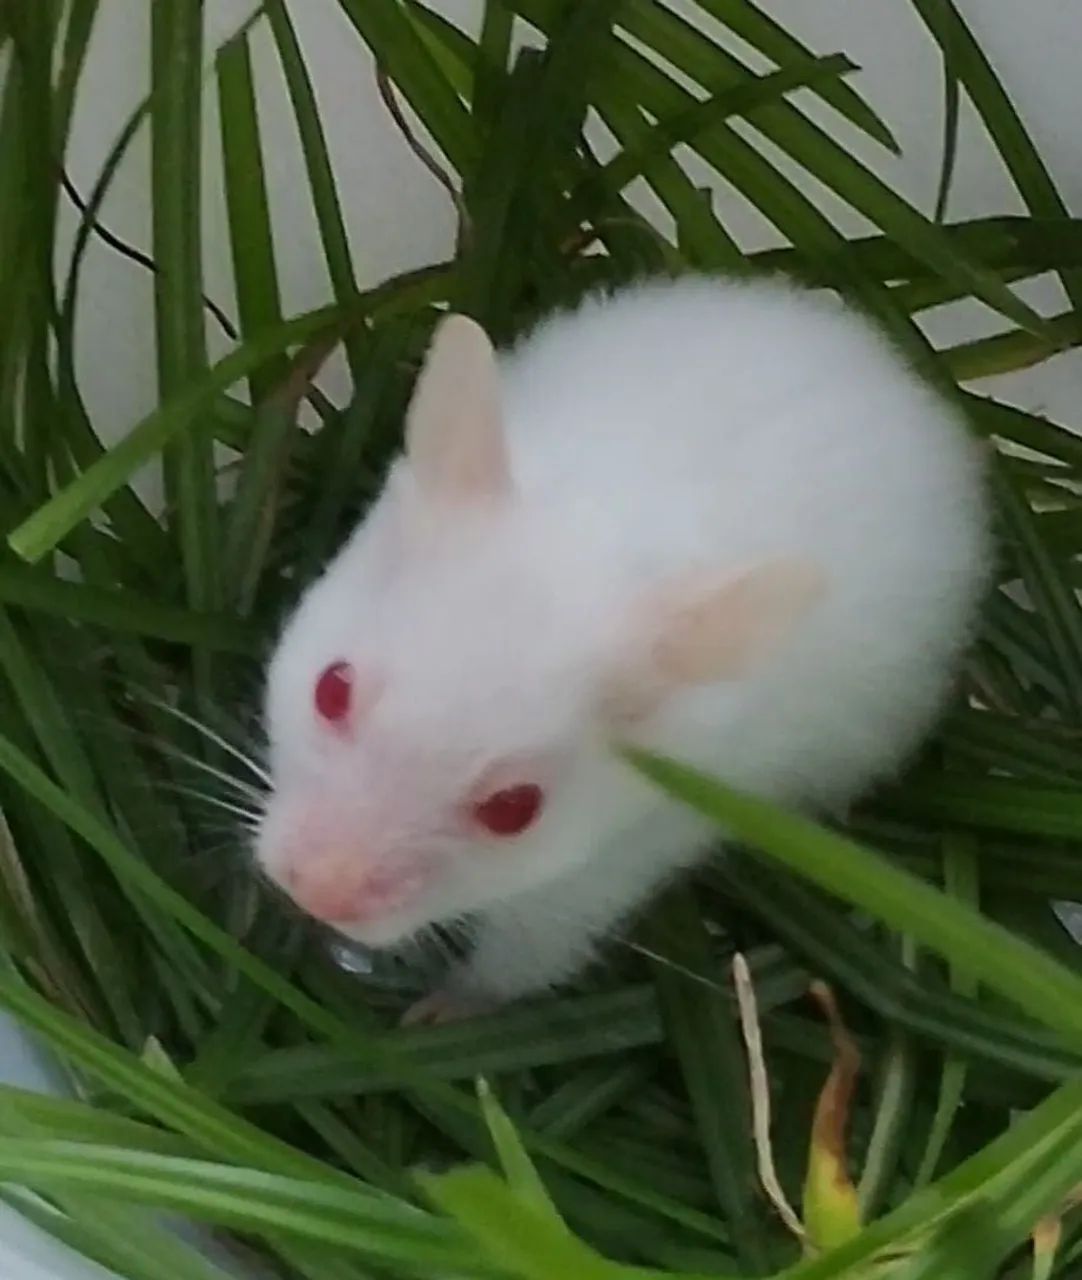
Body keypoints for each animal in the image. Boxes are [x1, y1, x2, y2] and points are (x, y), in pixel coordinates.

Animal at [255, 275, 991, 1022]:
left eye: (515, 809)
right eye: (331, 689)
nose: (315, 893)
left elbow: (520, 958)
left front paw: (435, 1014)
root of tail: (880, 360)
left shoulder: (610, 867)